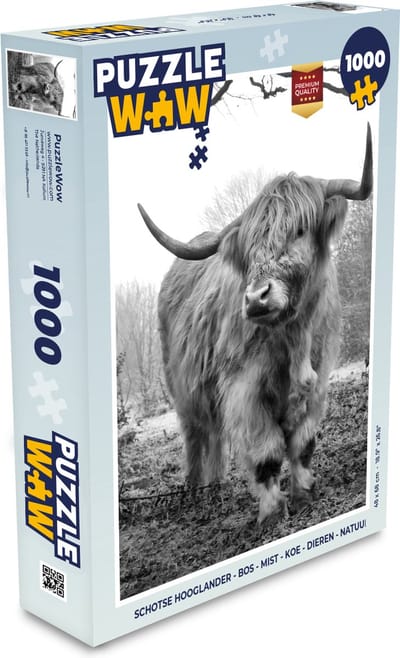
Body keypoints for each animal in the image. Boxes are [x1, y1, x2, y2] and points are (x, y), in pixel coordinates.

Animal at [137, 124, 372, 523]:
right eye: (249, 248)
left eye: (300, 229)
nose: (256, 299)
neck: (294, 338)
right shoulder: (244, 390)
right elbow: (266, 454)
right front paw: (272, 512)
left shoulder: (319, 380)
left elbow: (303, 444)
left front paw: (305, 493)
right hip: (182, 388)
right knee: (197, 436)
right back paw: (196, 491)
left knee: (215, 438)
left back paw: (217, 489)